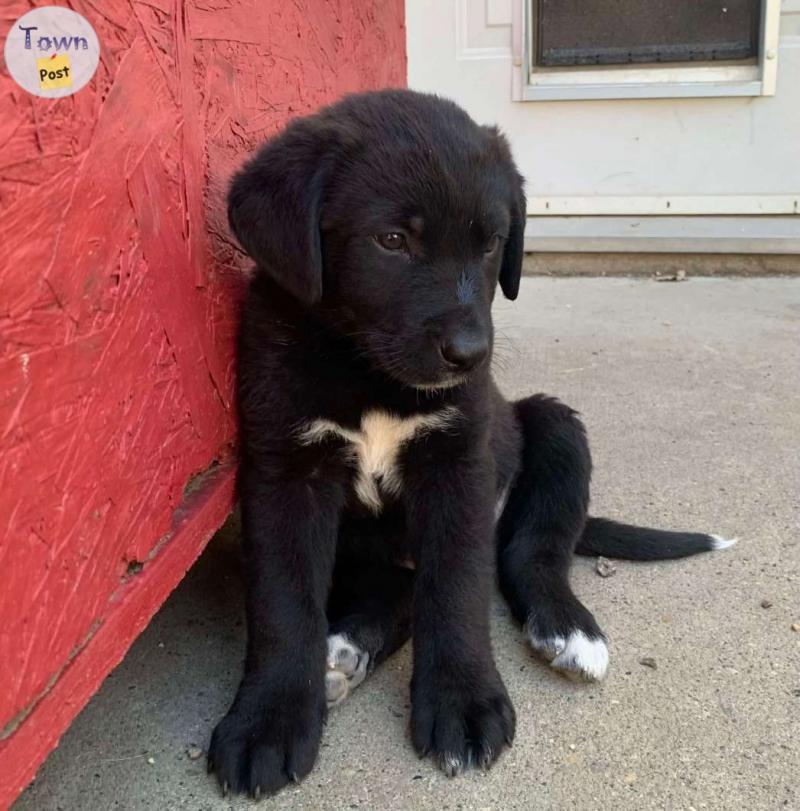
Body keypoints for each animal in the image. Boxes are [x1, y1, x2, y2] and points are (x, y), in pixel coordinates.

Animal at [208, 90, 736, 800]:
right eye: (392, 240)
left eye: (491, 244)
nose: (470, 354)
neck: (368, 373)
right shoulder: (286, 469)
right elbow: (283, 603)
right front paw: (267, 722)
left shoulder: (460, 460)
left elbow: (457, 587)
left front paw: (462, 703)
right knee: (400, 588)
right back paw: (341, 651)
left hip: (552, 426)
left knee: (528, 551)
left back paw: (566, 628)